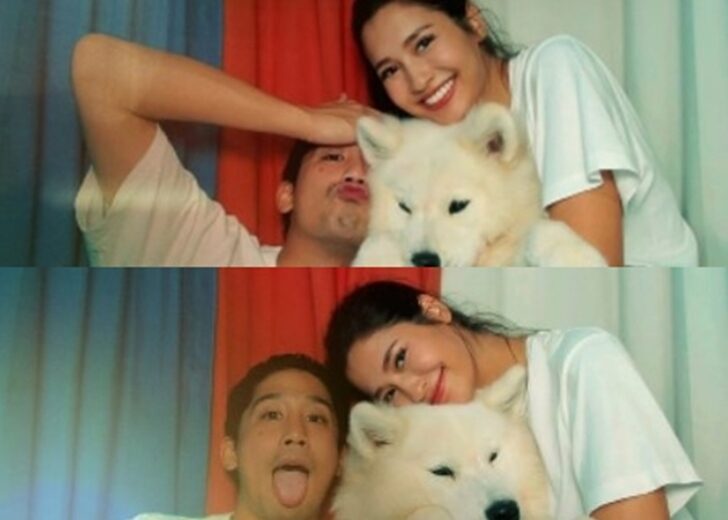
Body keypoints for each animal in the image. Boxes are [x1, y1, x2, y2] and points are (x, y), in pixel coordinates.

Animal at [352, 103, 607, 267]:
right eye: (404, 207)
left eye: (458, 205)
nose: (425, 260)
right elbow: (376, 242)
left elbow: (544, 230)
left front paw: (579, 259)